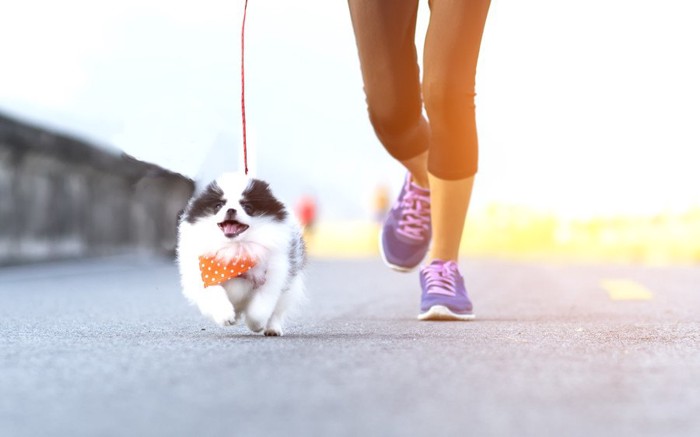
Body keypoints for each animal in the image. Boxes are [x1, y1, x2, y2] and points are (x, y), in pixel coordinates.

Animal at [176, 172, 304, 336]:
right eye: (219, 205)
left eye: (247, 206)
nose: (230, 209)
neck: (235, 248)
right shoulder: (204, 272)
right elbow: (214, 292)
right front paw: (225, 316)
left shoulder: (272, 275)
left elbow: (261, 306)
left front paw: (256, 325)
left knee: (277, 311)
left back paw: (272, 329)